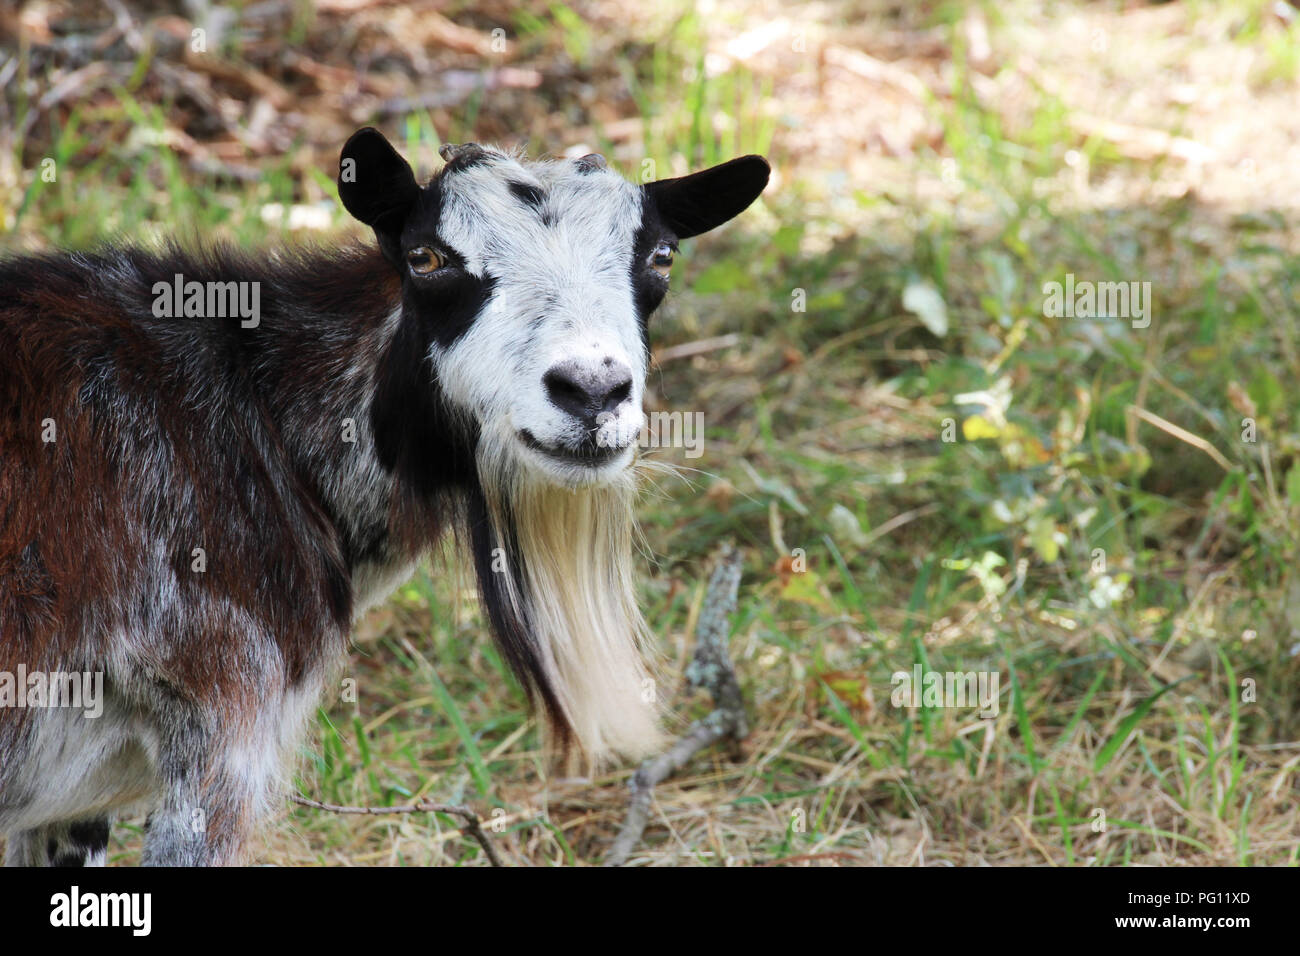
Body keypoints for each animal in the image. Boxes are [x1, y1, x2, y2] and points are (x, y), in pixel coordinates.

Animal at [0, 127, 769, 868]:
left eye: (662, 256)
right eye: (426, 258)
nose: (591, 391)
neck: (264, 420)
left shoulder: (71, 801)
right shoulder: (220, 722)